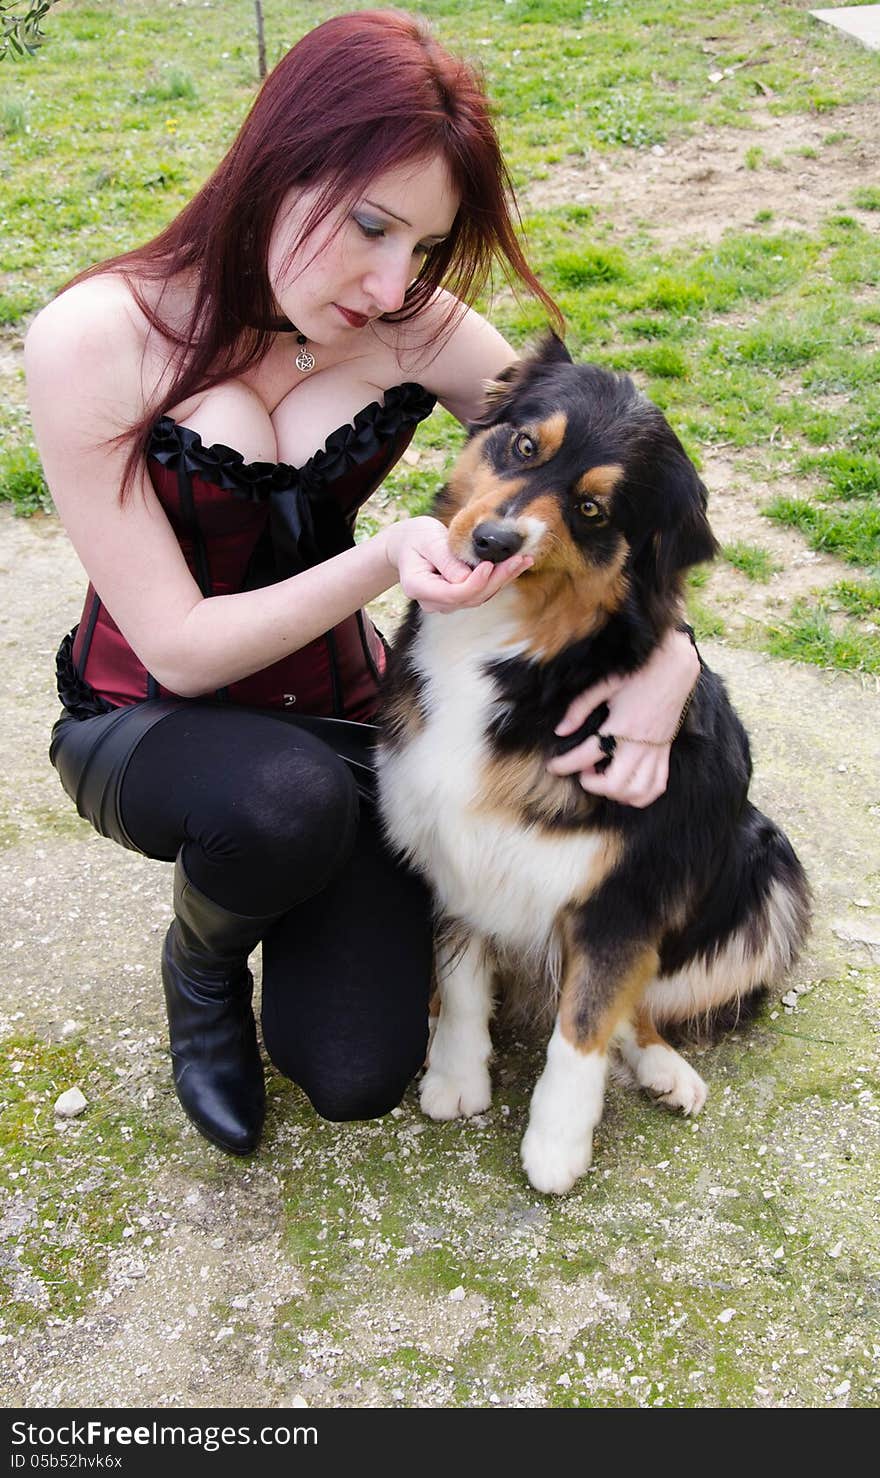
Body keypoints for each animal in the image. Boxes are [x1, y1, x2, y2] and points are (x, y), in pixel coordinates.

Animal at [375, 332, 810, 1188]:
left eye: (590, 510)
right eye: (522, 446)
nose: (491, 542)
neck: (516, 657)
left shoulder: (623, 893)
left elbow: (584, 1022)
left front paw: (555, 1144)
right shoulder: (448, 849)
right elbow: (462, 974)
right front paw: (456, 1075)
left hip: (769, 879)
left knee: (630, 1006)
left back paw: (663, 1068)